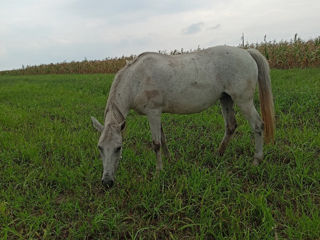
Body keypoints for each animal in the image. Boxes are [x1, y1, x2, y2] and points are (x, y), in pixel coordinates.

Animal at [90, 45, 276, 188]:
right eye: (100, 148)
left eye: (118, 148)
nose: (107, 182)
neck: (137, 79)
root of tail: (246, 52)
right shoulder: (157, 114)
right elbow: (163, 139)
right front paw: (170, 160)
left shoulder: (153, 113)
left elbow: (156, 143)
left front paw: (159, 172)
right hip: (226, 98)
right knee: (231, 126)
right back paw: (218, 154)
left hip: (243, 101)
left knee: (258, 125)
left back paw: (256, 161)